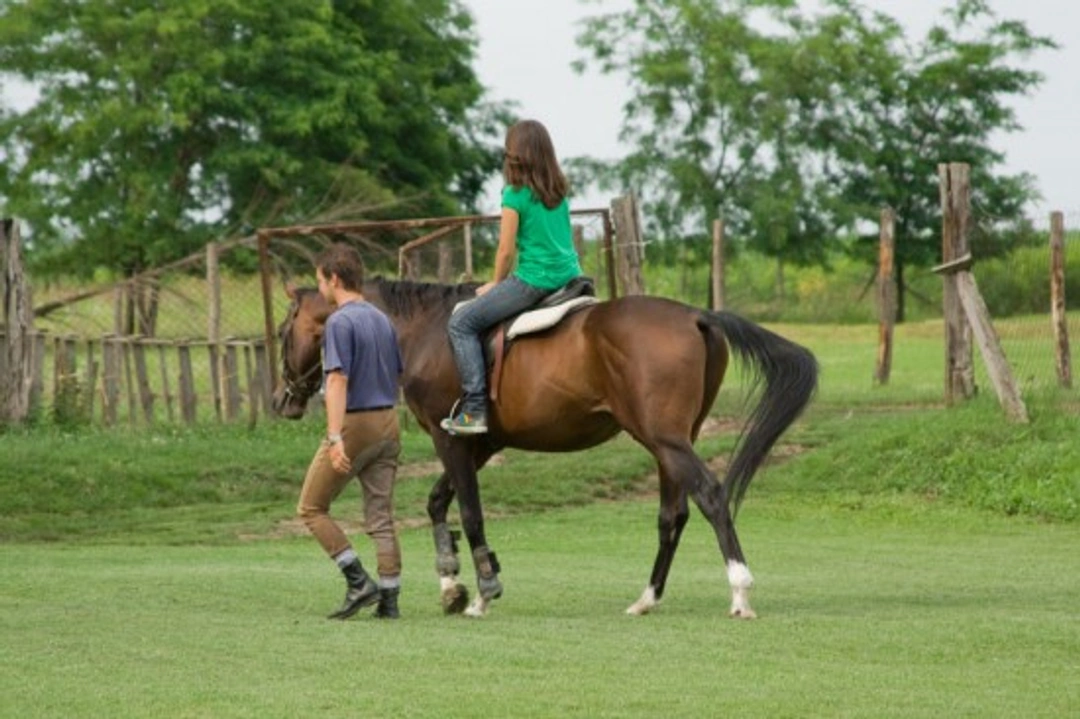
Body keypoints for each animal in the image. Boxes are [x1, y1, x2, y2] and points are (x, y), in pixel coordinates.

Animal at [272, 277, 818, 618]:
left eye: (282, 331)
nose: (282, 399)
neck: (423, 332)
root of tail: (696, 316)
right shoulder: (480, 444)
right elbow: (437, 503)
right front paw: (451, 584)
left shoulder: (453, 440)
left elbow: (469, 512)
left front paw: (483, 593)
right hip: (671, 443)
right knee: (673, 515)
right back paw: (647, 599)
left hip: (666, 439)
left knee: (711, 495)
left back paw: (740, 591)